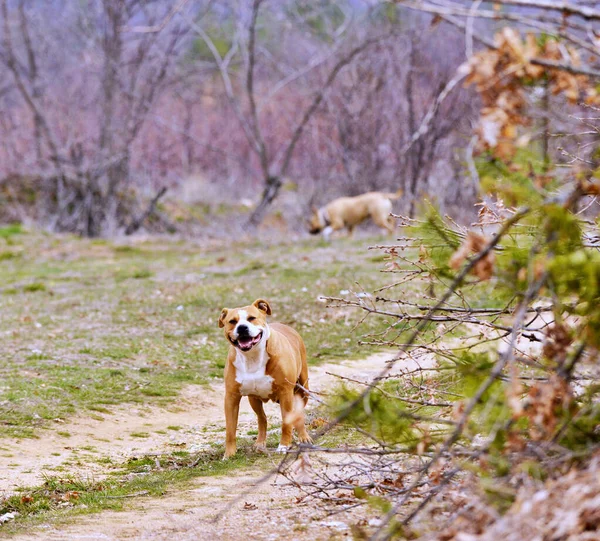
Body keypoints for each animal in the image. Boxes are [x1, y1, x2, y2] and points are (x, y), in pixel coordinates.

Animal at [218, 298, 312, 458]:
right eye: (232, 321)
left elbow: (286, 423)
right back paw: (260, 443)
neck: (252, 357)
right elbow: (230, 429)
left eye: (251, 318)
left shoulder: (286, 392)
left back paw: (304, 437)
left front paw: (283, 446)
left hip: (303, 390)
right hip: (254, 399)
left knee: (298, 415)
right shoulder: (231, 397)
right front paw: (229, 454)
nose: (242, 328)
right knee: (262, 418)